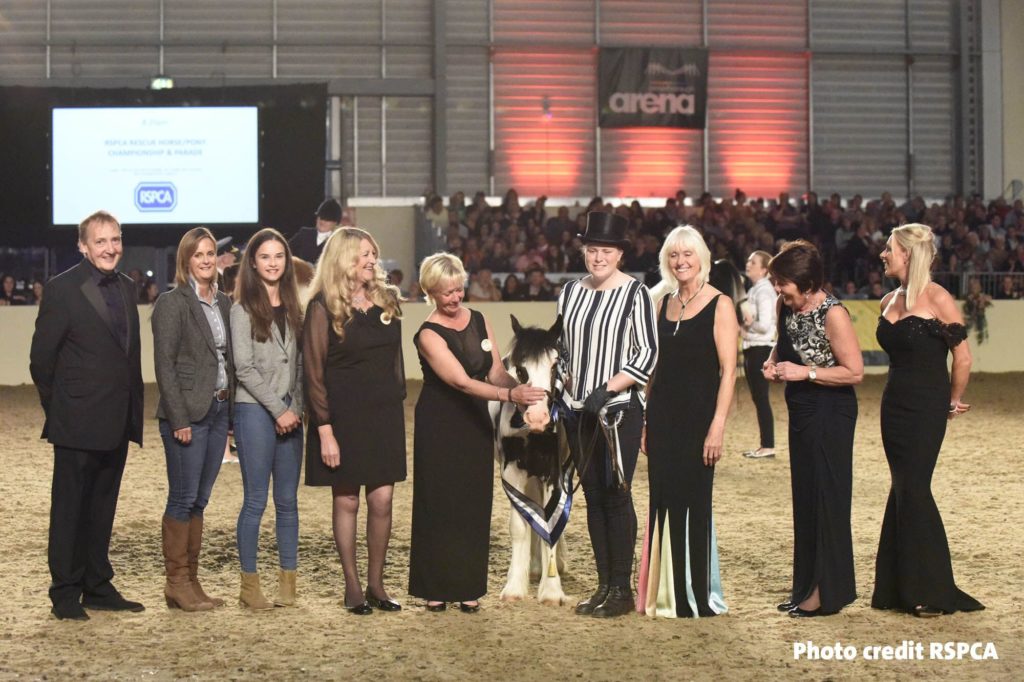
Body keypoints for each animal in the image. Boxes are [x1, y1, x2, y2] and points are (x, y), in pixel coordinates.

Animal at [489, 311, 573, 602]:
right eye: (520, 369)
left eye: (555, 366)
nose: (538, 418)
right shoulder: (512, 471)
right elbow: (520, 525)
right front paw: (515, 587)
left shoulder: (554, 472)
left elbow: (553, 522)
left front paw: (552, 591)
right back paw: (535, 567)